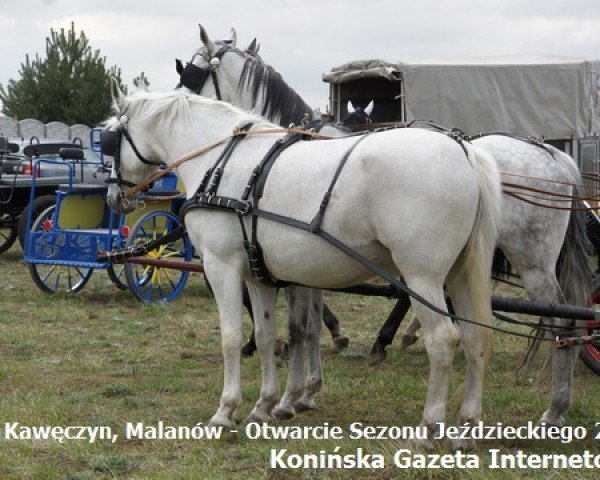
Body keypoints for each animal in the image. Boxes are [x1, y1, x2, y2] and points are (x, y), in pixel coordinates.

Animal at [105, 87, 500, 446]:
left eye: (108, 139)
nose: (114, 196)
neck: (219, 161)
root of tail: (464, 151)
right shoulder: (257, 274)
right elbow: (267, 336)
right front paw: (264, 406)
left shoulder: (222, 267)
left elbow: (231, 337)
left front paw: (225, 411)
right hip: (458, 275)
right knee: (474, 337)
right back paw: (467, 427)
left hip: (421, 277)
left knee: (443, 340)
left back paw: (428, 428)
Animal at [178, 26, 592, 426]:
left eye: (190, 72)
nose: (179, 94)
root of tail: (550, 153)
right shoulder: (305, 261)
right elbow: (308, 326)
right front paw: (306, 388)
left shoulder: (288, 261)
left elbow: (298, 327)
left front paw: (288, 391)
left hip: (526, 260)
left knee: (561, 320)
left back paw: (554, 405)